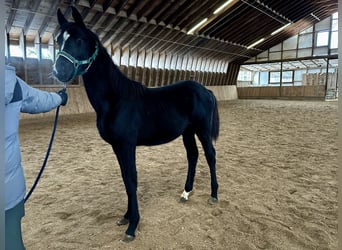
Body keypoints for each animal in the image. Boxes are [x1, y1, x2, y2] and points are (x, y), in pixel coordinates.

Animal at [53, 6, 219, 242]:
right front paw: (126, 217)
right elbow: (125, 179)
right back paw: (186, 192)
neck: (116, 99)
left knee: (210, 156)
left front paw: (132, 227)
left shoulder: (127, 145)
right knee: (193, 156)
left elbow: (131, 180)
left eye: (79, 39)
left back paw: (214, 195)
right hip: (187, 132)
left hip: (202, 129)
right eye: (59, 39)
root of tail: (206, 90)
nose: (60, 71)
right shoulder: (117, 147)